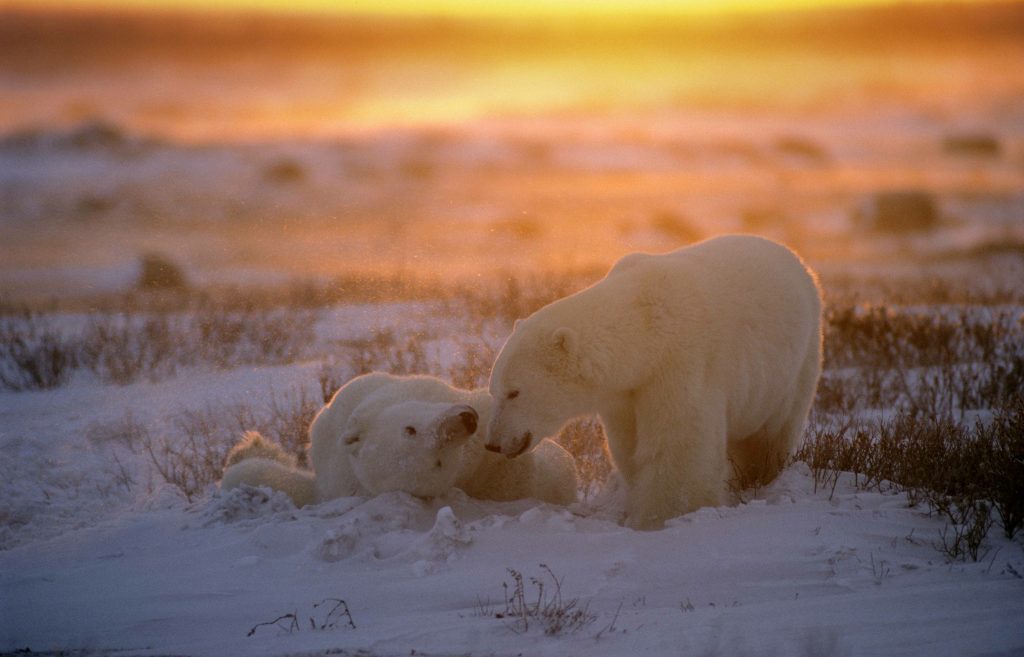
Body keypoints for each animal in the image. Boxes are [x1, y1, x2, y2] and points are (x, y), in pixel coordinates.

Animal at [485, 234, 823, 528]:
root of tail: (794, 257)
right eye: (494, 390)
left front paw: (661, 516)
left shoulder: (680, 363)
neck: (645, 327)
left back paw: (758, 477)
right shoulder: (624, 393)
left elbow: (678, 443)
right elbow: (628, 445)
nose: (492, 443)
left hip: (797, 364)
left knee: (770, 434)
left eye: (514, 392)